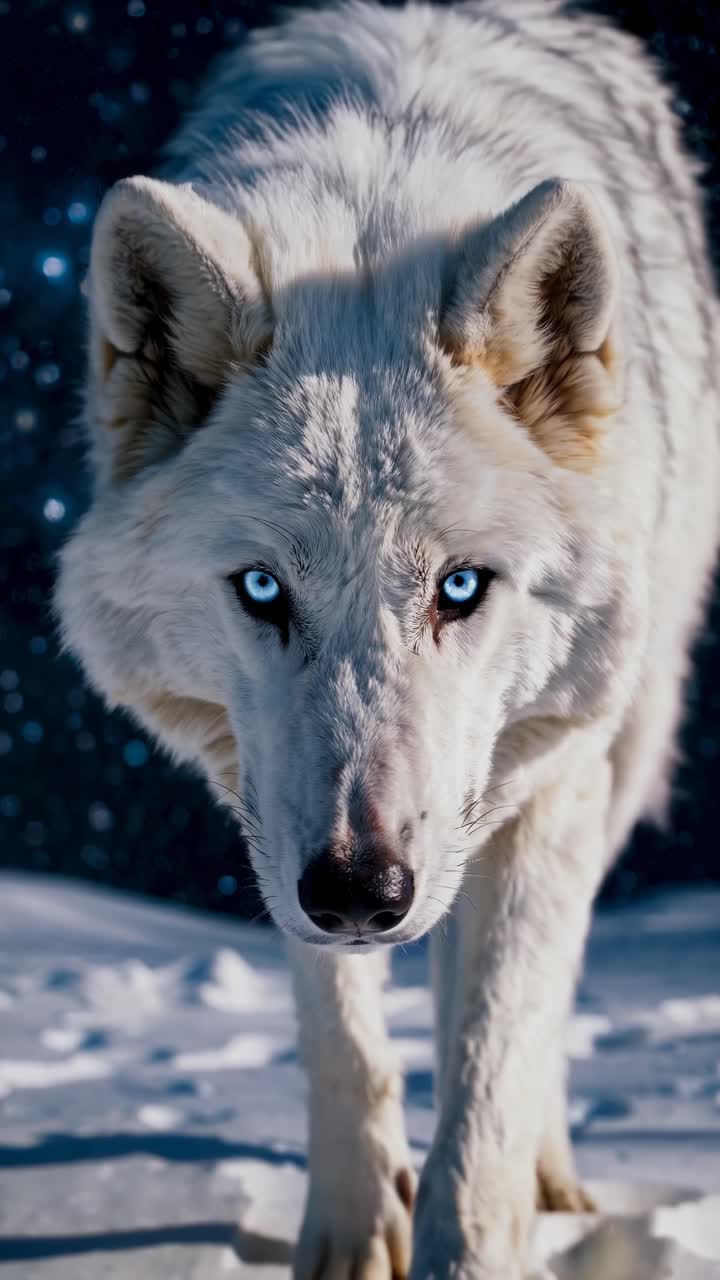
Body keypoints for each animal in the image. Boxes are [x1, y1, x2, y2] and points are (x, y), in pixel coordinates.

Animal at [56, 1, 720, 1276]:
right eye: (263, 588)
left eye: (460, 586)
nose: (364, 890)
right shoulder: (274, 809)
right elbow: (341, 1039)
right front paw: (356, 1235)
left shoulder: (548, 783)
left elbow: (495, 1054)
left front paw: (473, 1238)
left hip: (609, 739)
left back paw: (551, 1178)